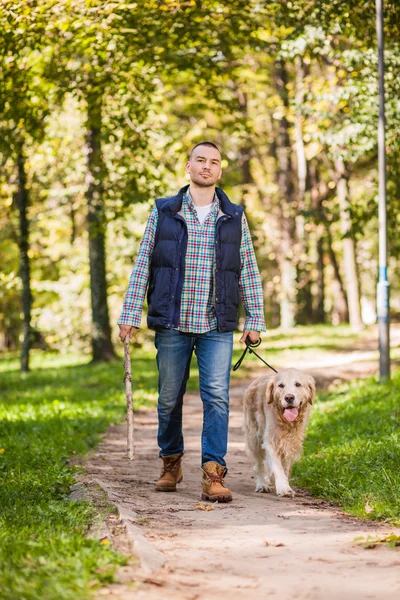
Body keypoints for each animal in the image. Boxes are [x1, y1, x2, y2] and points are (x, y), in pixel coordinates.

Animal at [244, 368, 316, 500]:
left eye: (298, 384)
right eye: (281, 385)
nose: (289, 397)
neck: (287, 423)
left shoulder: (290, 443)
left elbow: (285, 467)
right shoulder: (270, 441)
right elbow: (277, 466)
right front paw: (283, 487)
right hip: (254, 437)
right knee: (258, 464)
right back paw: (262, 484)